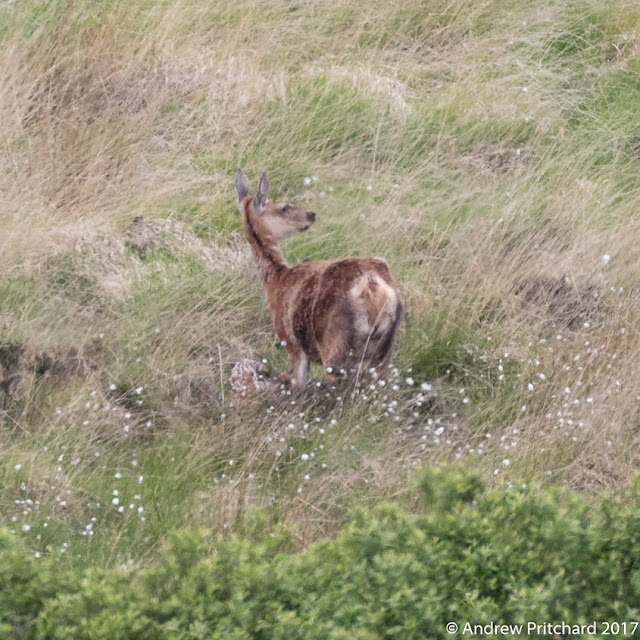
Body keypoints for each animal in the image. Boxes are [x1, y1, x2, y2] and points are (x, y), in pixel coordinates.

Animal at [235, 170, 404, 388]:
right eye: (284, 207)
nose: (311, 215)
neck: (277, 280)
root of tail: (372, 287)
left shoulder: (291, 343)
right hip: (384, 348)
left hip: (335, 349)